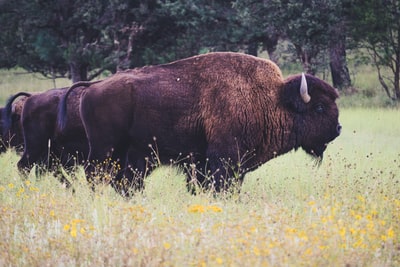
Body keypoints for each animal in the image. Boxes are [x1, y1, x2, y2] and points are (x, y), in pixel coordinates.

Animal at [58, 52, 340, 194]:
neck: (271, 97)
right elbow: (220, 184)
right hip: (103, 150)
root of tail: (93, 87)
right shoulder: (224, 158)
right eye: (319, 107)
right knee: (96, 176)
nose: (338, 129)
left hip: (126, 153)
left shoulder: (206, 162)